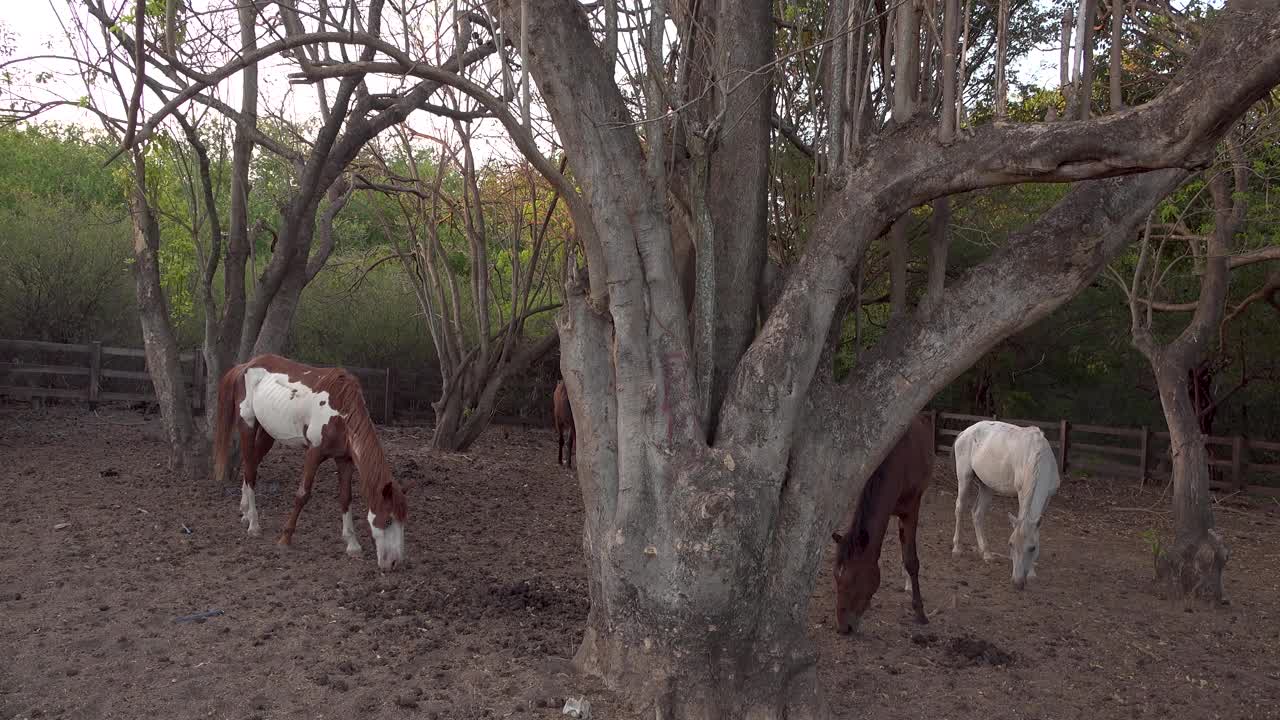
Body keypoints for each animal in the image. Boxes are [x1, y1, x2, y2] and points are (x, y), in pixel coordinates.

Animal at [211, 351, 409, 566]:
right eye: (388, 520)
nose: (394, 562)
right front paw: (285, 539)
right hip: (247, 425)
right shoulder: (314, 454)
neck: (340, 412)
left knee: (252, 465)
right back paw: (254, 524)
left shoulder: (344, 460)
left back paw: (245, 512)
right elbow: (303, 494)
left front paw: (352, 545)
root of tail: (246, 365)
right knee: (249, 471)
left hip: (267, 433)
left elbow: (345, 498)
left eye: (403, 520)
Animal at [829, 412, 931, 630]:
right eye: (835, 577)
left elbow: (911, 561)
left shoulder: (912, 510)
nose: (843, 628)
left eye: (855, 578)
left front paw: (920, 612)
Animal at [952, 417, 1059, 586]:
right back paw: (957, 548)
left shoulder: (1048, 497)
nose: (1017, 582)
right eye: (1011, 544)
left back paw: (986, 554)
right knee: (960, 507)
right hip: (964, 477)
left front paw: (1032, 573)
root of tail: (965, 432)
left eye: (1032, 548)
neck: (1038, 456)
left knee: (977, 514)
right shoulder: (1021, 493)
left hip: (987, 486)